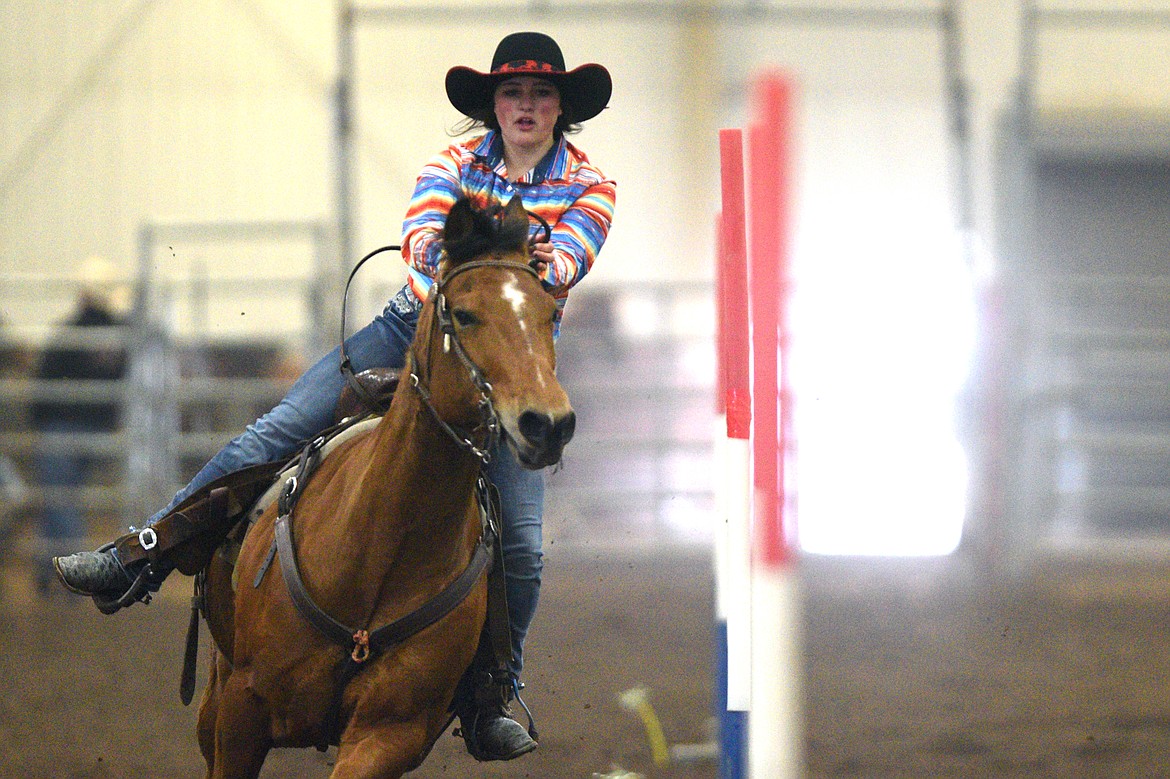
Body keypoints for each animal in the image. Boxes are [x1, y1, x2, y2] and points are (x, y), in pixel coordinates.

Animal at [193, 195, 575, 776]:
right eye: (464, 314)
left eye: (549, 313)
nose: (547, 424)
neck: (380, 545)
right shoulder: (243, 709)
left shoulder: (390, 733)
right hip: (215, 694)